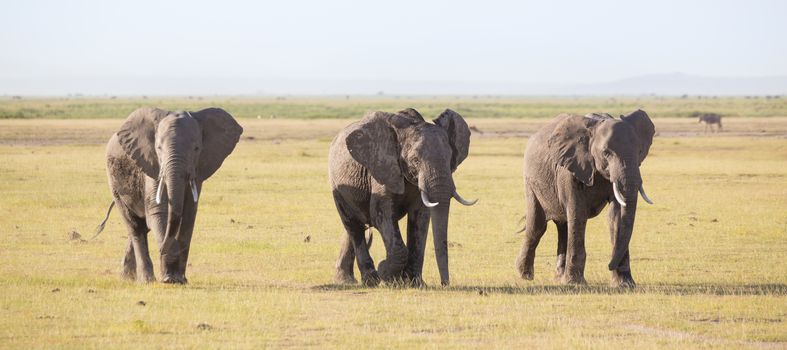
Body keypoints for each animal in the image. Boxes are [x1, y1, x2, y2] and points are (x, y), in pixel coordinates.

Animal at [96, 107, 242, 284]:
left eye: (196, 149)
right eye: (158, 148)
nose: (163, 250)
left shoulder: (197, 169)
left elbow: (188, 215)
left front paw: (179, 279)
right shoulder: (151, 164)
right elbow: (158, 212)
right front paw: (169, 278)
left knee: (142, 228)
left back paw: (128, 278)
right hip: (115, 184)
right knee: (135, 227)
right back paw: (146, 280)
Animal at [330, 109, 478, 288]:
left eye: (450, 158)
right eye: (415, 160)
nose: (445, 283)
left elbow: (421, 219)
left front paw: (415, 283)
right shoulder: (383, 167)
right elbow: (380, 214)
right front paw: (387, 274)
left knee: (355, 227)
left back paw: (347, 280)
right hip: (336, 185)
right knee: (353, 226)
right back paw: (369, 280)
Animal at [516, 110, 660, 288]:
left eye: (640, 151)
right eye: (606, 153)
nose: (609, 265)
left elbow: (616, 216)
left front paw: (624, 284)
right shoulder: (569, 167)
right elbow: (578, 213)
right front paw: (575, 283)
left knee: (563, 226)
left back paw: (558, 277)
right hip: (530, 180)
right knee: (537, 225)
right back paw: (525, 275)